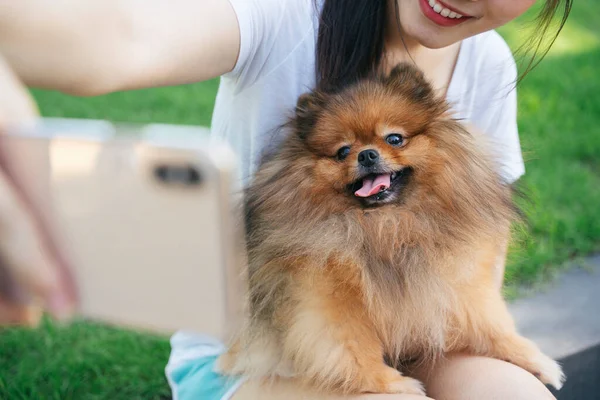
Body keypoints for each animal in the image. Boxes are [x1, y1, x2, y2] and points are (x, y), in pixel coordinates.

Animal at [218, 64, 564, 396]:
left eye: (394, 139)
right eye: (343, 151)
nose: (366, 154)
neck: (385, 225)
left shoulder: (456, 285)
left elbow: (493, 325)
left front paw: (535, 359)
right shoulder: (327, 300)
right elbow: (354, 350)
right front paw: (390, 382)